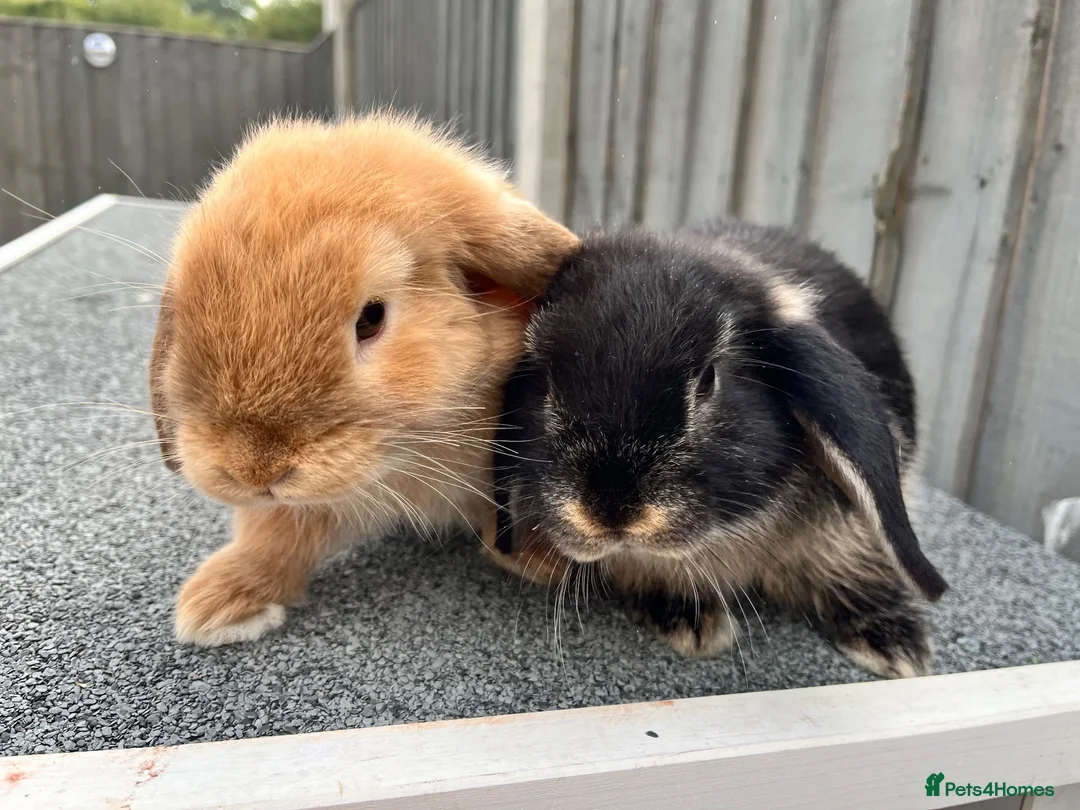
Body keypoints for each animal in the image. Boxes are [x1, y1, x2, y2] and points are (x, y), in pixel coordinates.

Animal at [150, 113, 579, 647]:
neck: (411, 453)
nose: (255, 472)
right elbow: (275, 535)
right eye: (185, 315)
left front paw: (541, 562)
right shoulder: (304, 507)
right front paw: (219, 603)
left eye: (371, 319)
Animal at [487, 218, 949, 679]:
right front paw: (691, 622)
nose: (611, 513)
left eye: (709, 380)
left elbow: (859, 564)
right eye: (546, 384)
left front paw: (899, 647)